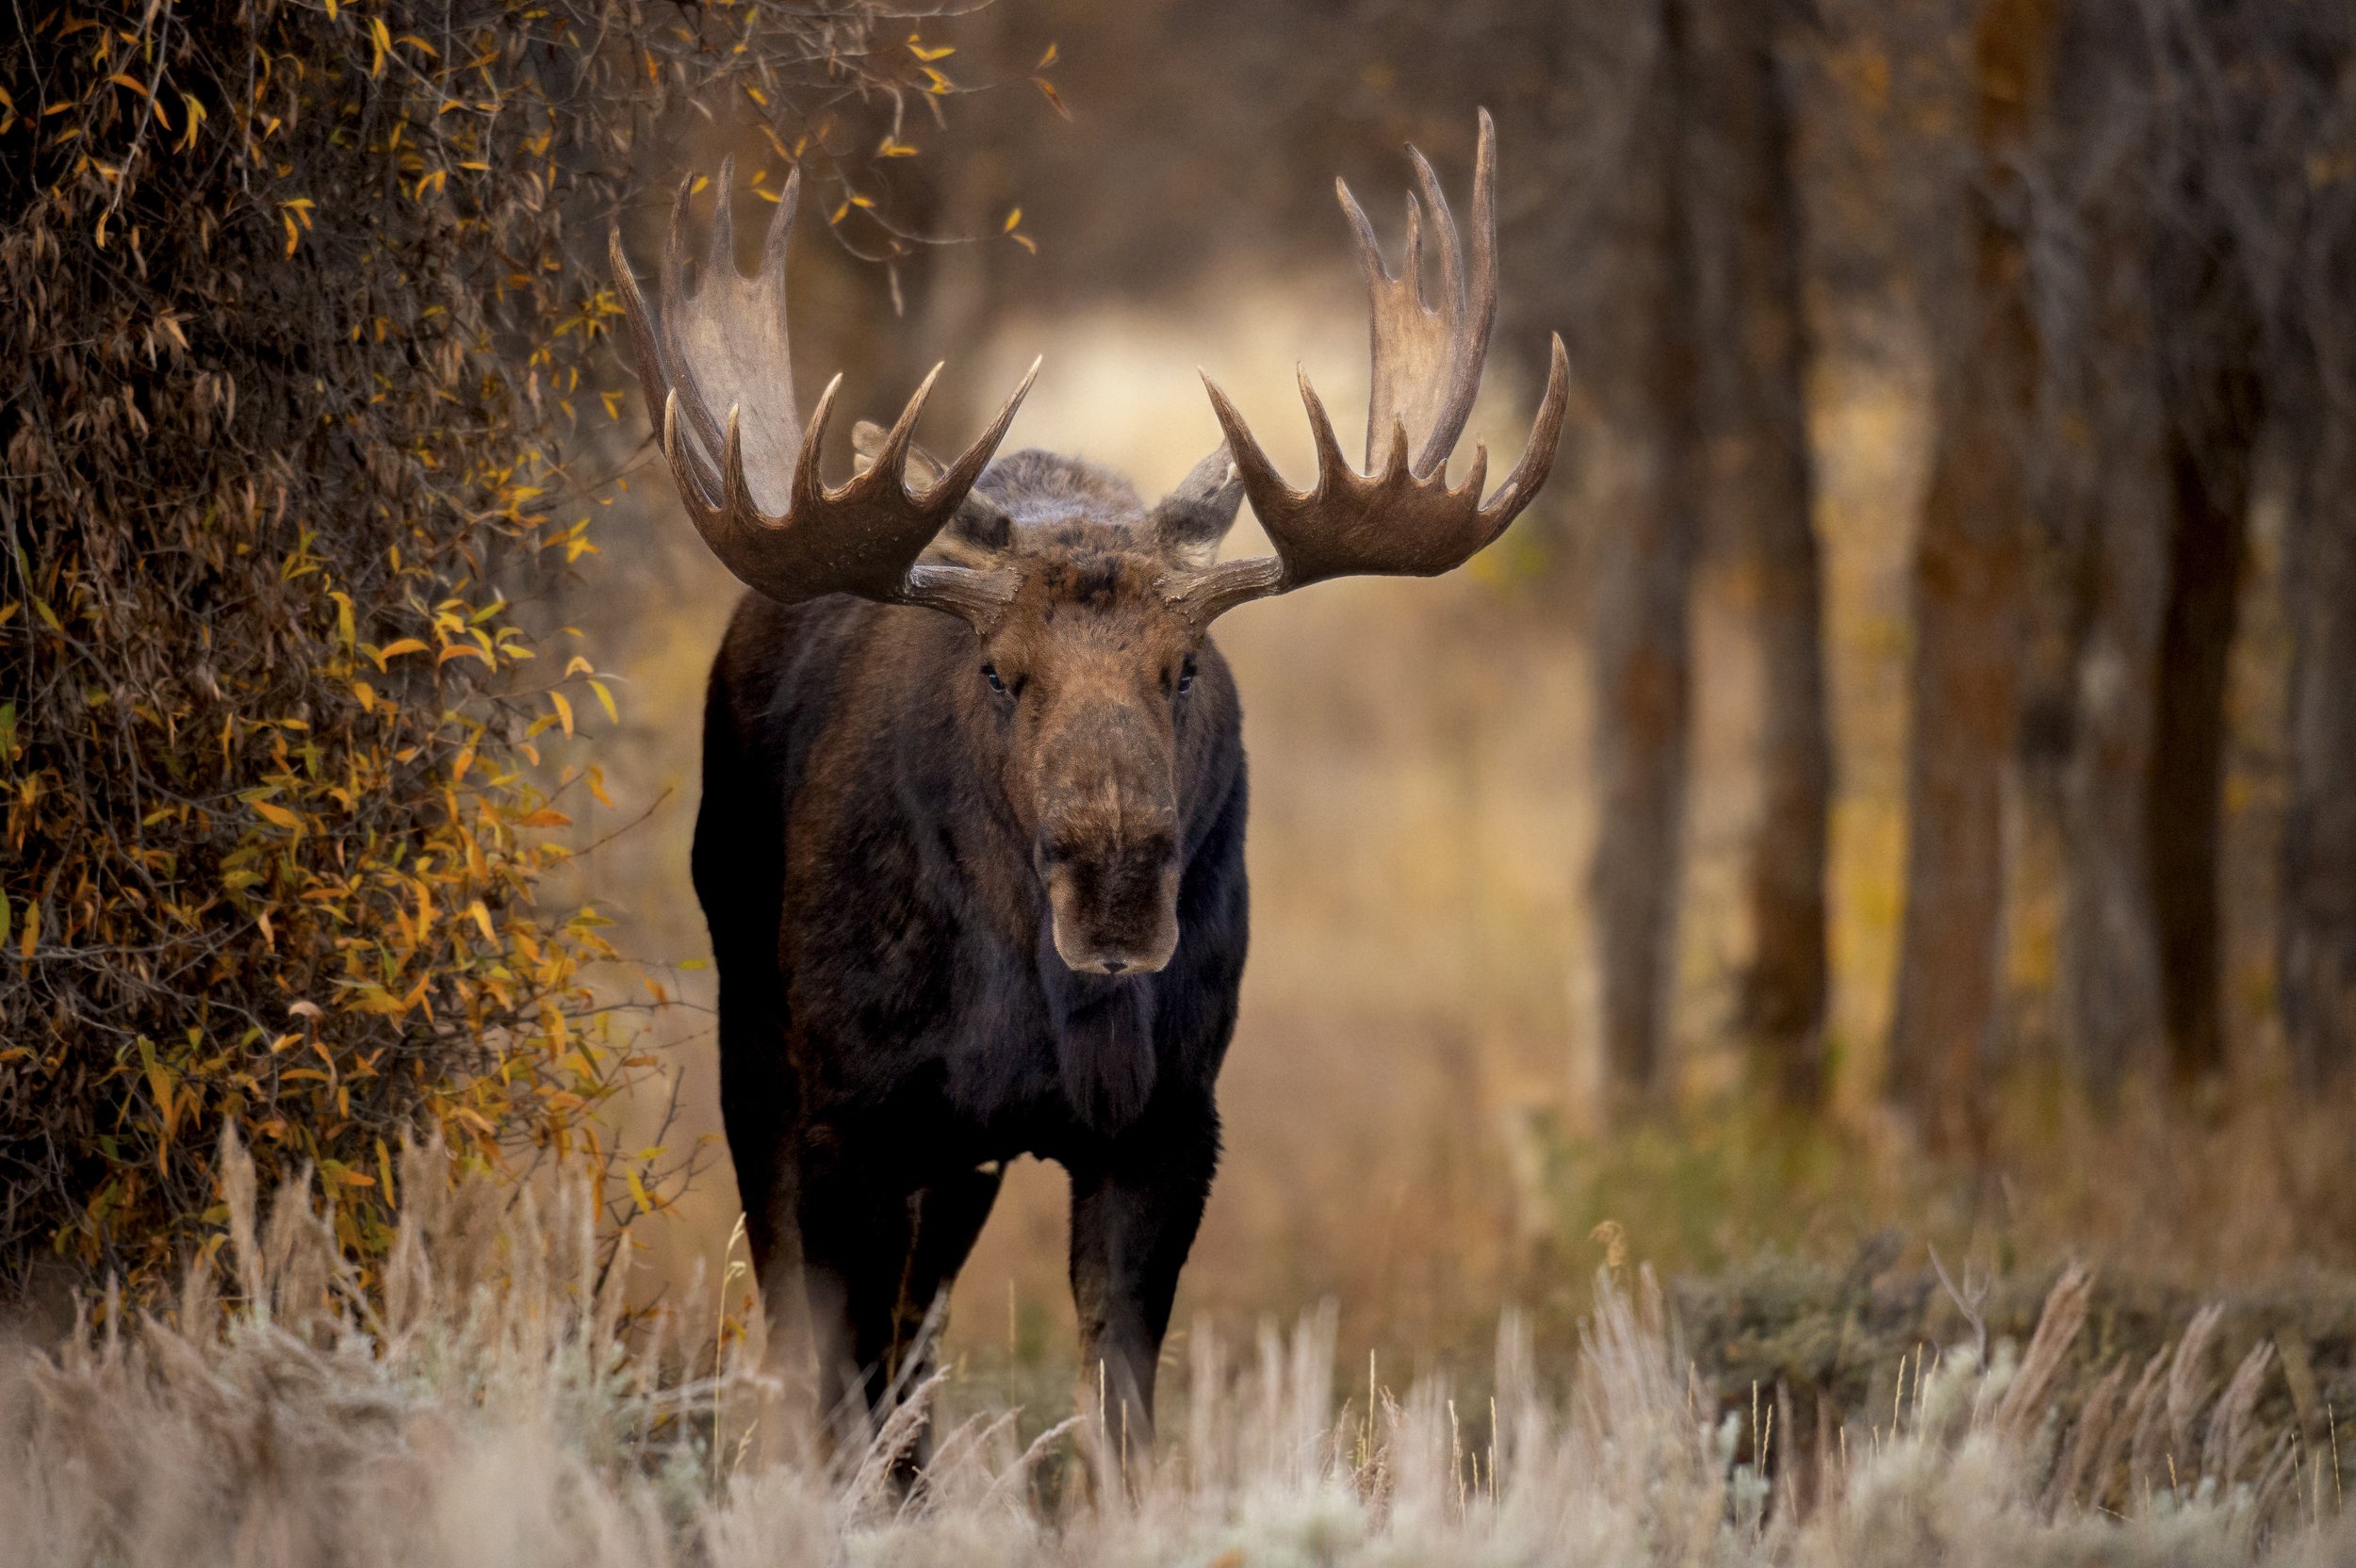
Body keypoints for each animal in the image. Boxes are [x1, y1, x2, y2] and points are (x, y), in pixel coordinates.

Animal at [610, 111, 1566, 1460]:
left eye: (1184, 666)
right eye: (999, 671)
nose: (1115, 885)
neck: (1036, 1001)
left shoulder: (1170, 1119)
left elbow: (1116, 1411)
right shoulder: (849, 1110)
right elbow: (828, 1376)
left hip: (957, 1156)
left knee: (915, 1343)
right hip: (752, 1019)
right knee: (833, 1338)